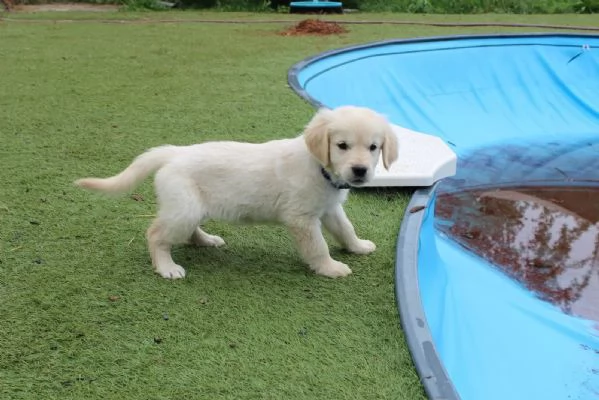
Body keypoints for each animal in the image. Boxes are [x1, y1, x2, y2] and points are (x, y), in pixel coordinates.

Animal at [75, 106, 398, 278]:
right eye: (342, 145)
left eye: (373, 147)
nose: (360, 171)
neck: (319, 166)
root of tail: (174, 153)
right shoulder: (301, 218)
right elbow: (317, 246)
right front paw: (330, 267)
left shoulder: (329, 208)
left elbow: (346, 228)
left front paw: (358, 246)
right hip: (184, 208)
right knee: (155, 234)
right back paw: (166, 267)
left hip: (191, 207)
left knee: (187, 232)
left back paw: (206, 241)